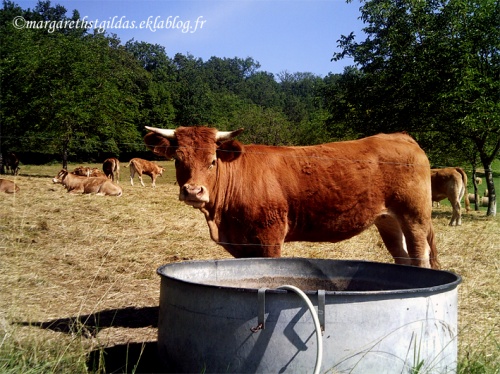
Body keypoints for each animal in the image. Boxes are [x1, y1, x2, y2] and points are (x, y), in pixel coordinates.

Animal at [144, 125, 438, 268]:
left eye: (213, 160)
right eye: (178, 160)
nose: (193, 191)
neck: (220, 220)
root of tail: (401, 137)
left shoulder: (270, 235)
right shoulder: (241, 243)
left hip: (415, 216)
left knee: (419, 255)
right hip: (388, 220)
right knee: (402, 256)